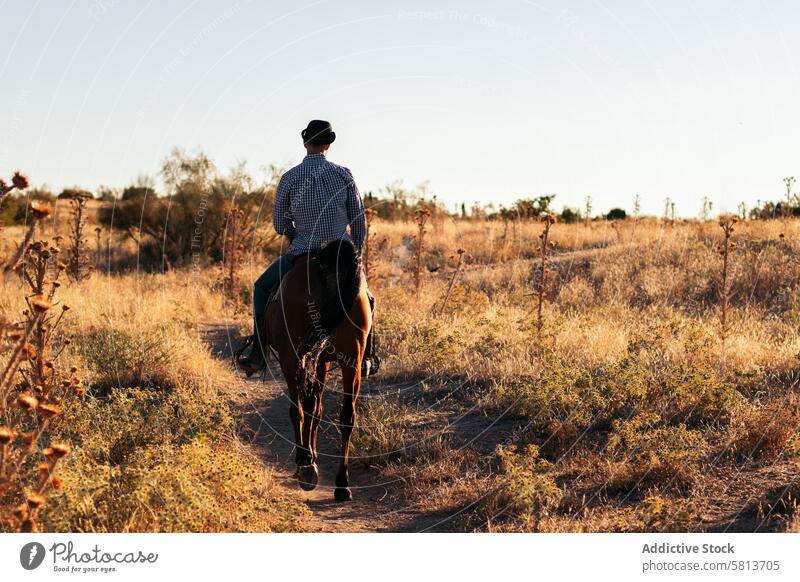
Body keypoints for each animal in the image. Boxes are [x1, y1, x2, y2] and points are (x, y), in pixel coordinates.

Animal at [266, 240, 372, 504]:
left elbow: (308, 408)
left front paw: (307, 461)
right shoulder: (322, 361)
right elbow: (317, 410)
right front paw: (312, 459)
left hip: (292, 358)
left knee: (297, 409)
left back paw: (305, 466)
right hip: (352, 362)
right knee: (347, 417)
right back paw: (342, 484)